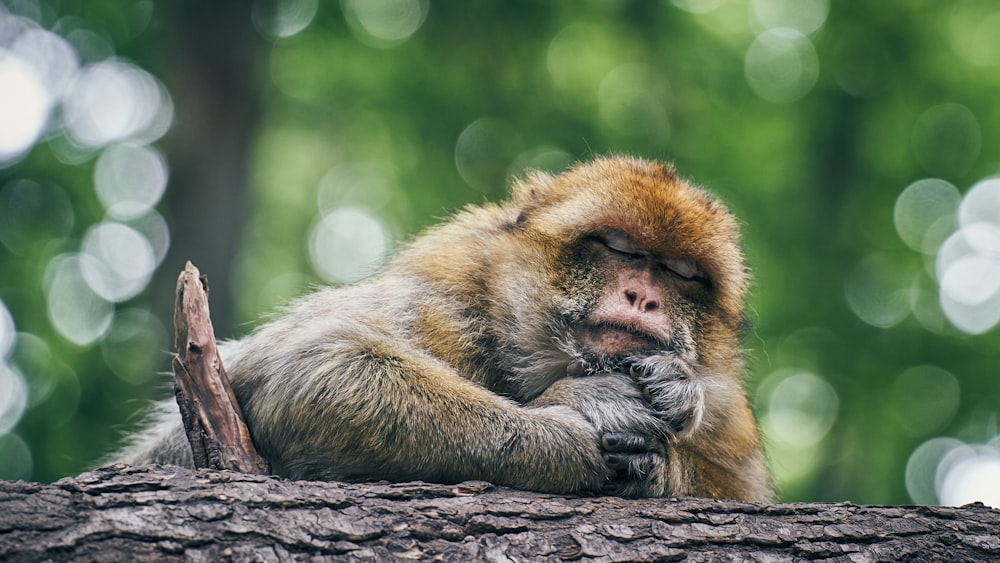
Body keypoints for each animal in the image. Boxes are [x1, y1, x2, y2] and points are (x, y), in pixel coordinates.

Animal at [119, 155, 772, 502]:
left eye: (680, 275)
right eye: (617, 247)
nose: (644, 297)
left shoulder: (727, 417)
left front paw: (667, 440)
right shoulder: (446, 303)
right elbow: (314, 365)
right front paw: (578, 418)